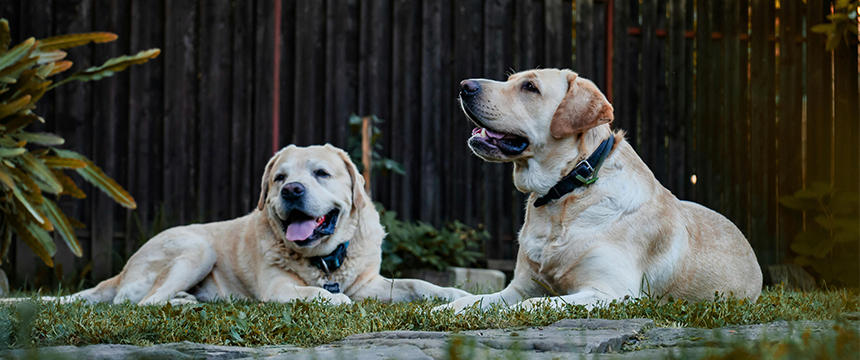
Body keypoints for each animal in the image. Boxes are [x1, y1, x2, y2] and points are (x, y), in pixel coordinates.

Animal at [62, 143, 470, 304]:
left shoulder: (370, 284)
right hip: (198, 248)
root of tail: (121, 271)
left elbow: (418, 284)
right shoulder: (278, 289)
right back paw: (180, 304)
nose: (291, 190)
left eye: (321, 173)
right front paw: (333, 300)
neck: (325, 260)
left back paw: (187, 300)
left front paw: (455, 294)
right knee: (142, 303)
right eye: (279, 178)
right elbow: (317, 294)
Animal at [436, 69, 760, 312]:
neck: (565, 193)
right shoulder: (520, 287)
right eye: (511, 79)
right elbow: (477, 299)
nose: (464, 86)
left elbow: (536, 304)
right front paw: (444, 308)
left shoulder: (613, 292)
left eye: (530, 87)